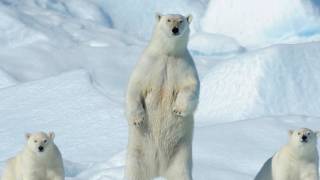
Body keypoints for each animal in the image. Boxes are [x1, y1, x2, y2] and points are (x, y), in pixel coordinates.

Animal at [125, 13, 199, 179]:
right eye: (168, 20)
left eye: (181, 21)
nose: (175, 29)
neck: (168, 54)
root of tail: (158, 169)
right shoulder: (148, 65)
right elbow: (135, 88)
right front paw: (138, 119)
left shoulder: (184, 66)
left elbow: (191, 87)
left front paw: (178, 109)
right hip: (138, 153)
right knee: (133, 172)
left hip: (180, 154)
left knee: (181, 174)